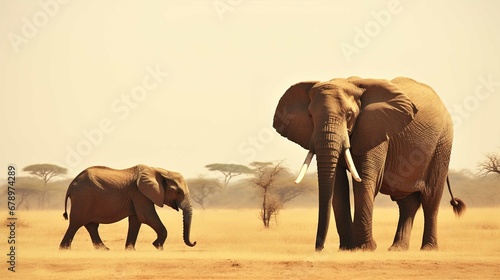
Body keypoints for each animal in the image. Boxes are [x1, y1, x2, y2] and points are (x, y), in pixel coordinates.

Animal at [59, 164, 196, 249]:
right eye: (178, 192)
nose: (194, 242)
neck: (158, 170)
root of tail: (71, 186)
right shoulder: (139, 194)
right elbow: (146, 217)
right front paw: (158, 246)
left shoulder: (138, 196)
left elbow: (136, 220)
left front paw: (130, 250)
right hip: (83, 198)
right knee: (76, 223)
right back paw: (64, 249)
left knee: (91, 225)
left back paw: (105, 250)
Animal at [274, 76, 464, 252]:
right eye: (310, 116)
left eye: (349, 115)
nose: (319, 248)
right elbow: (338, 184)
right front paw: (347, 249)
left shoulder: (376, 129)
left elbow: (365, 180)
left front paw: (365, 248)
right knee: (407, 202)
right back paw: (397, 249)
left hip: (442, 145)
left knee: (431, 199)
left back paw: (428, 249)